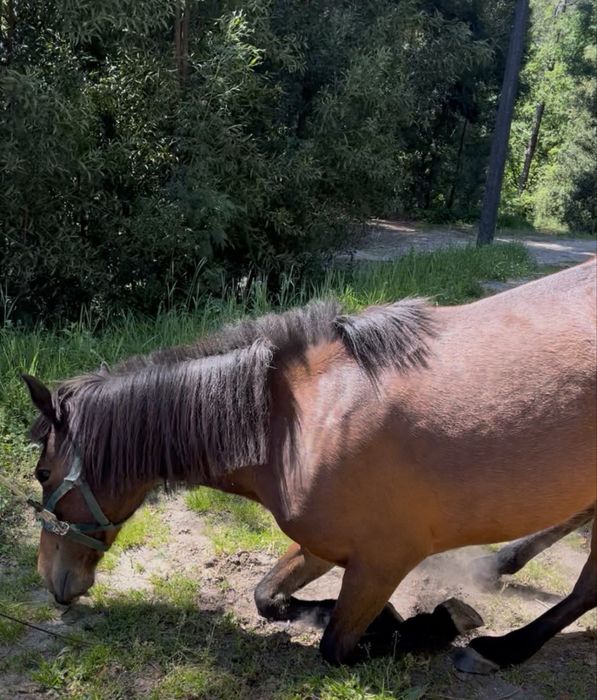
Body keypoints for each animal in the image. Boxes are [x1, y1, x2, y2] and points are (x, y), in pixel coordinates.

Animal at [19, 259, 596, 674]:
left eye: (43, 475)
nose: (51, 579)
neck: (299, 425)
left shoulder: (382, 562)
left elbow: (336, 647)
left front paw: (432, 624)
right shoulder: (327, 547)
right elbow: (266, 596)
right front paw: (371, 618)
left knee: (585, 589)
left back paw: (502, 648)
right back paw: (502, 565)